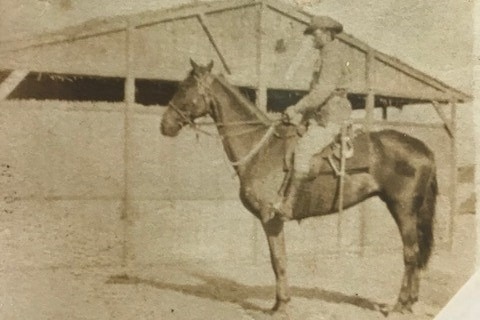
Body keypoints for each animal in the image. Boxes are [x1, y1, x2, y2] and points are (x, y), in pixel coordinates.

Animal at [159, 59, 436, 316]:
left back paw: (399, 305)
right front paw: (277, 304)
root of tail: (424, 148)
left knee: (411, 253)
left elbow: (278, 260)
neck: (261, 148)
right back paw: (410, 302)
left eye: (185, 88)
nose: (165, 125)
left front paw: (281, 306)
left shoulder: (271, 220)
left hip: (402, 208)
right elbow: (278, 260)